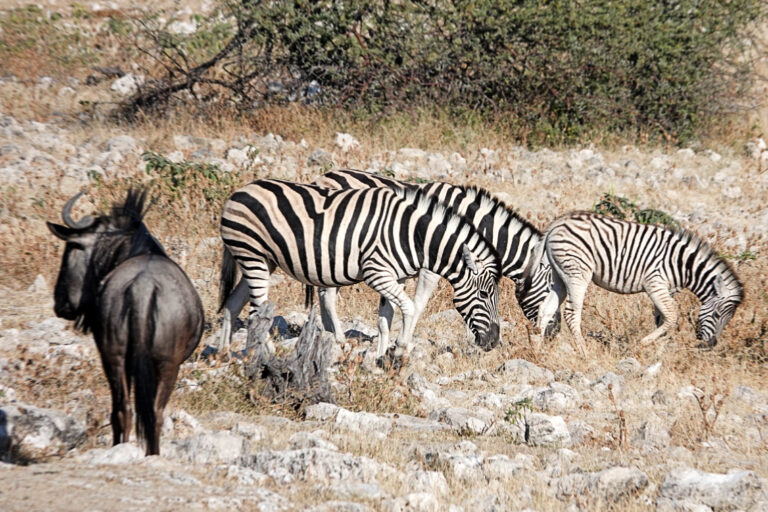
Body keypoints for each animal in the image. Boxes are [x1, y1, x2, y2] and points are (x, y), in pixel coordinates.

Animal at [219, 178, 500, 358]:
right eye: (484, 294)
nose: (494, 342)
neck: (411, 235)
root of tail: (238, 192)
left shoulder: (394, 278)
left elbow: (385, 319)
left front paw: (379, 359)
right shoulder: (377, 273)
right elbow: (409, 308)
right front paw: (399, 348)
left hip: (262, 259)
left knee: (232, 305)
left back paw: (225, 355)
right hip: (252, 254)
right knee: (257, 311)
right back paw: (267, 354)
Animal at [304, 170, 560, 346]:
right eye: (553, 291)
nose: (554, 334)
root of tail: (323, 177)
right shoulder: (432, 266)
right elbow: (419, 305)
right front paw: (403, 342)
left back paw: (328, 332)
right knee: (327, 294)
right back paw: (336, 336)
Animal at [520, 210, 744, 354]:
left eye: (728, 319)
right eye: (716, 315)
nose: (711, 345)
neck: (683, 264)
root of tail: (556, 223)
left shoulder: (667, 289)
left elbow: (663, 319)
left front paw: (658, 351)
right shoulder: (655, 283)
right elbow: (672, 316)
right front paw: (643, 344)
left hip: (560, 275)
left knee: (545, 309)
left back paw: (537, 349)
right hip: (577, 272)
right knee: (571, 313)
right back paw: (584, 352)